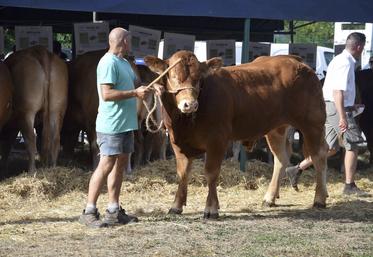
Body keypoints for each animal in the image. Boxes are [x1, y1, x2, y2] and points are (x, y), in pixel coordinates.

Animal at [144, 50, 326, 218]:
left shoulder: (217, 140)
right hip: (276, 129)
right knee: (281, 159)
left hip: (313, 124)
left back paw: (319, 199)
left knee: (318, 157)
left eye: (198, 79)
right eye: (173, 76)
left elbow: (211, 173)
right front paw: (176, 205)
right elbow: (182, 173)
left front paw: (211, 208)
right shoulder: (177, 142)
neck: (185, 122)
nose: (190, 104)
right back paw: (269, 198)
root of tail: (295, 60)